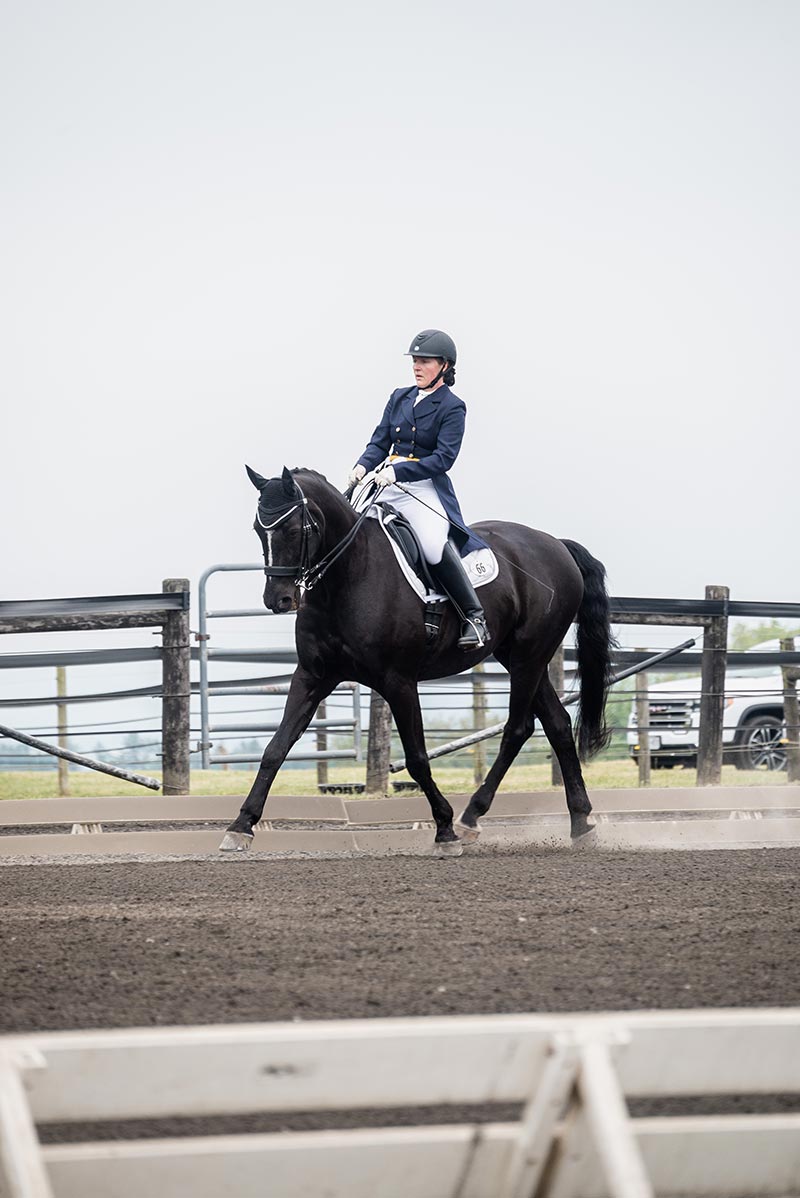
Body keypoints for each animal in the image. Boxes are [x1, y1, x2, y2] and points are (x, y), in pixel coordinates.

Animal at [221, 462, 617, 857]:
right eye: (258, 529)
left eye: (291, 528)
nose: (278, 600)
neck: (349, 574)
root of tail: (556, 544)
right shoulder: (312, 677)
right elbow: (275, 748)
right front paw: (240, 826)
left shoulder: (398, 681)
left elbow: (416, 758)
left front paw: (444, 828)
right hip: (520, 658)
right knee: (558, 724)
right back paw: (581, 823)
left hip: (528, 657)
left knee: (518, 729)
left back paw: (470, 818)